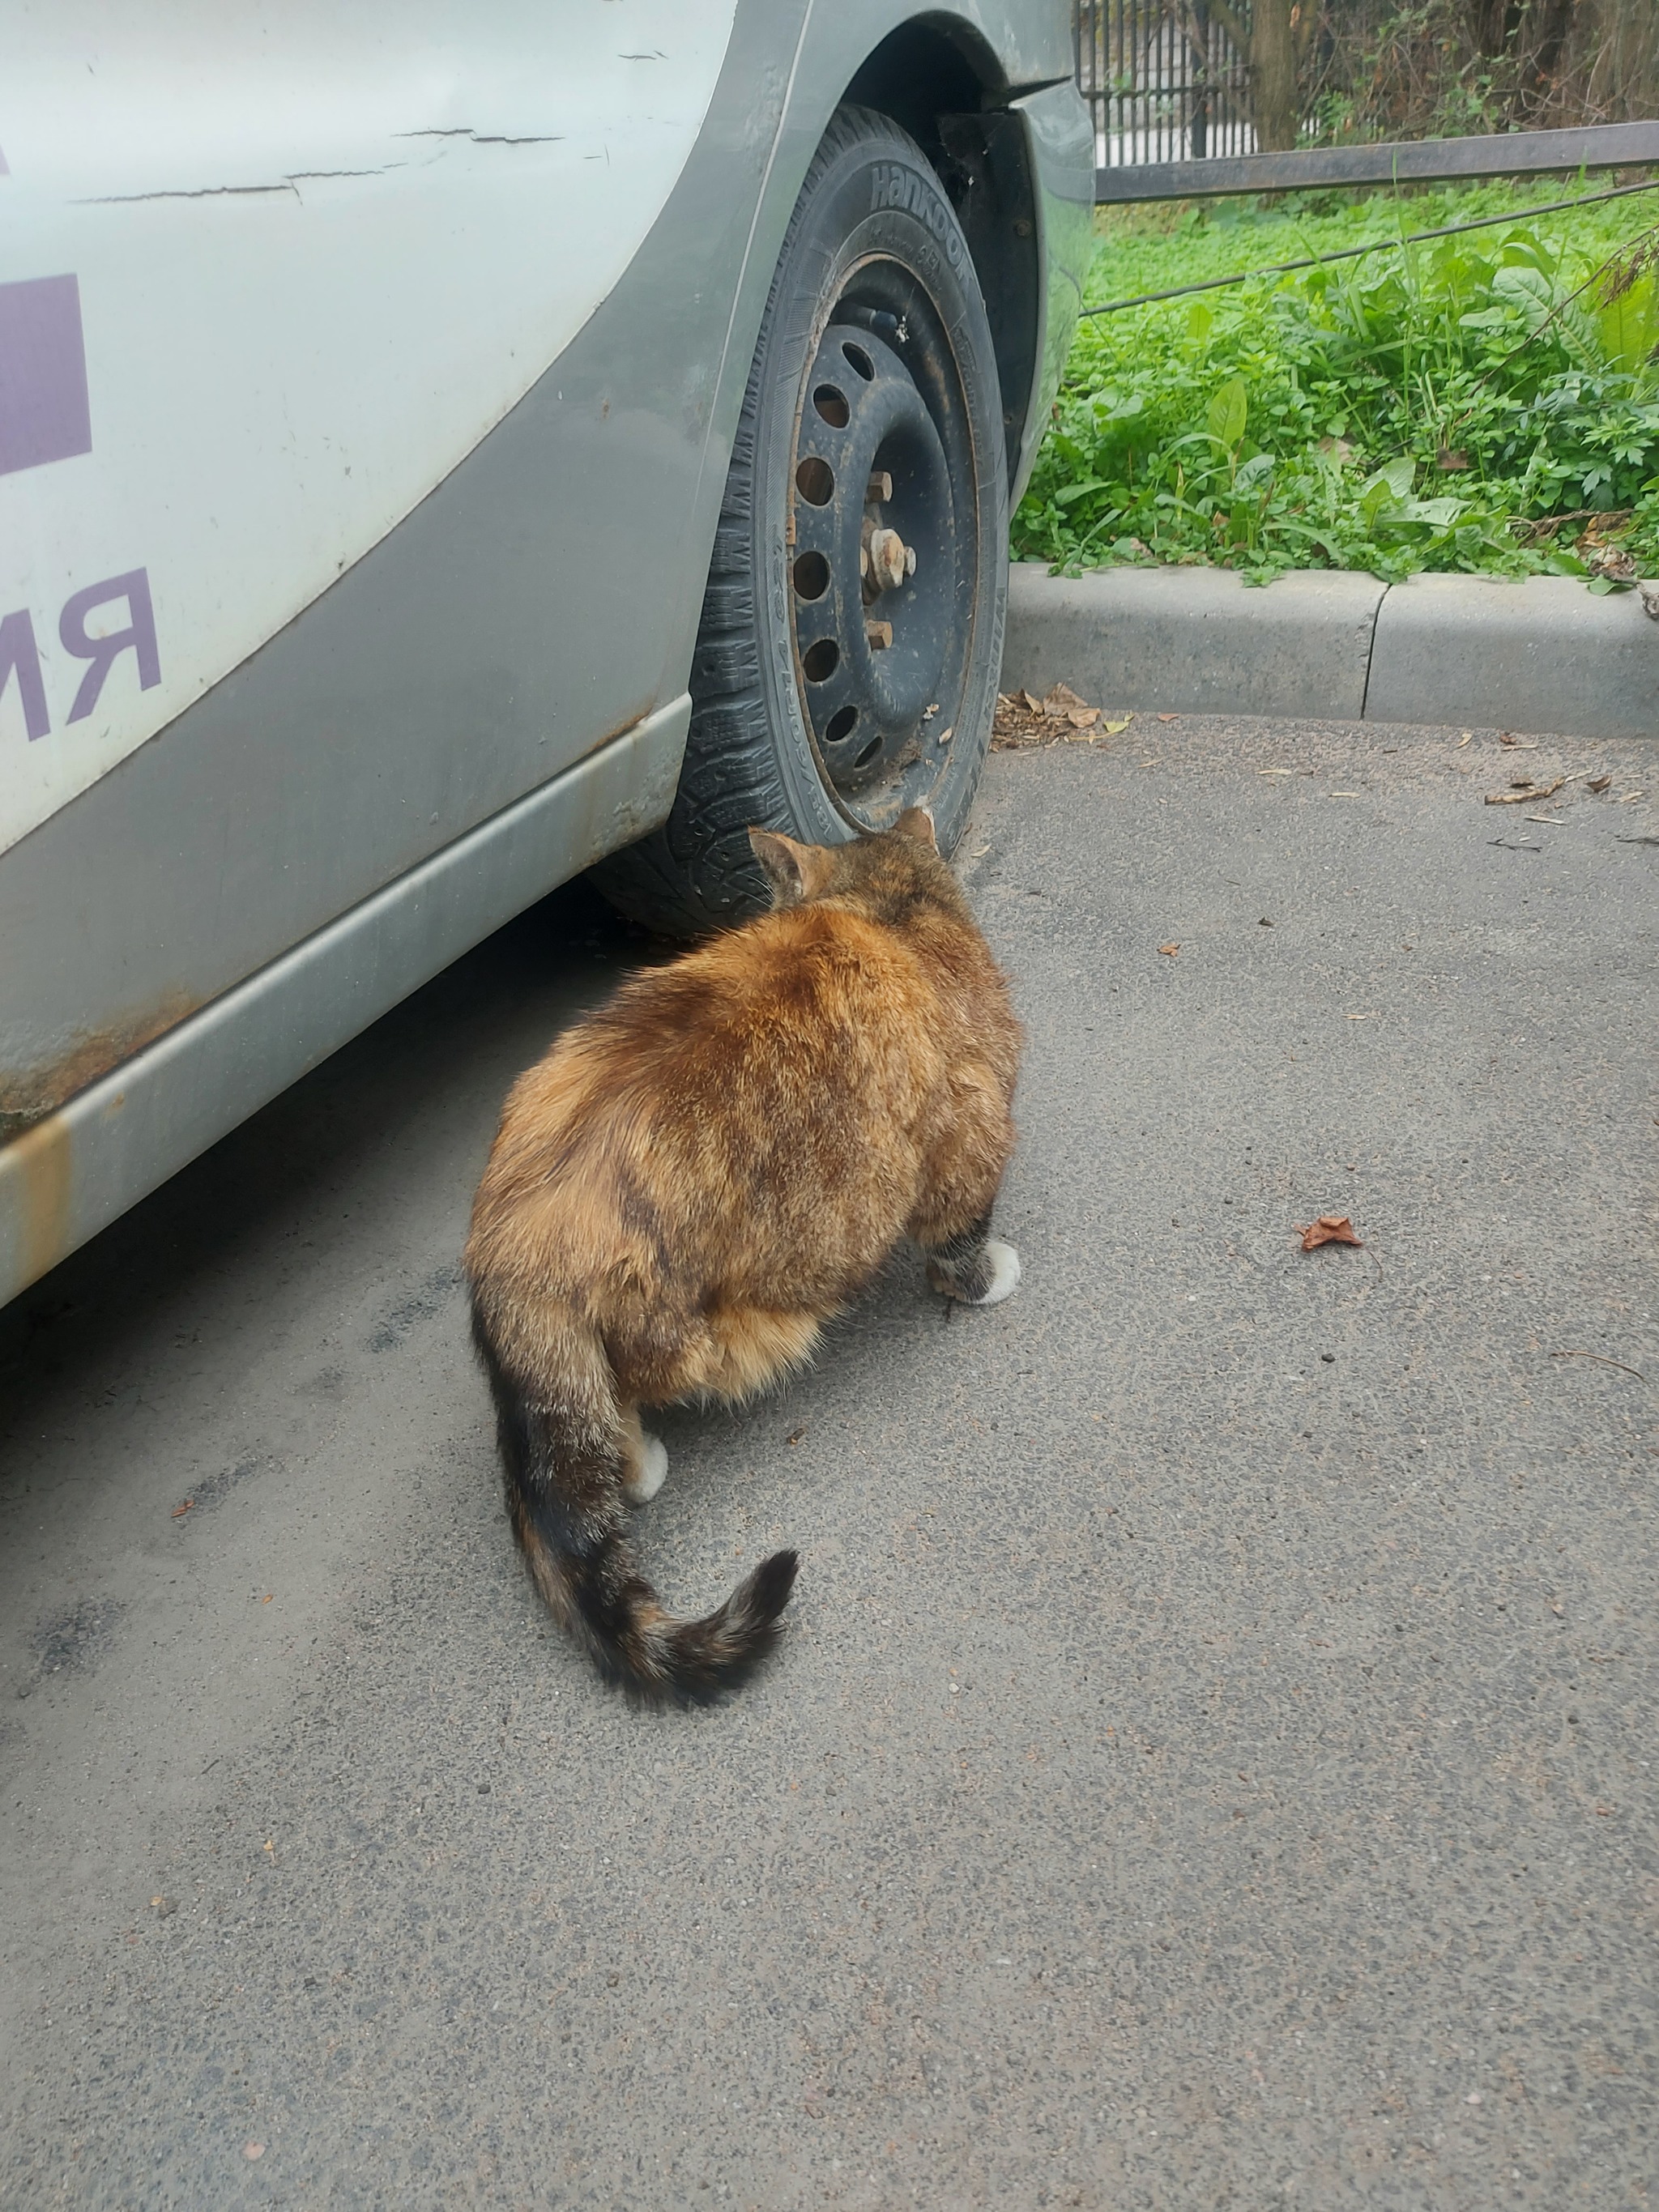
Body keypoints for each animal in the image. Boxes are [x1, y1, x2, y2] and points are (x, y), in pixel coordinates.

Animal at [462, 805, 1021, 1698]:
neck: (882, 912)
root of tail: (510, 1249)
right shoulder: (968, 1137)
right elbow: (957, 1241)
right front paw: (986, 1276)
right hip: (726, 1331)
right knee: (622, 1402)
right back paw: (642, 1463)